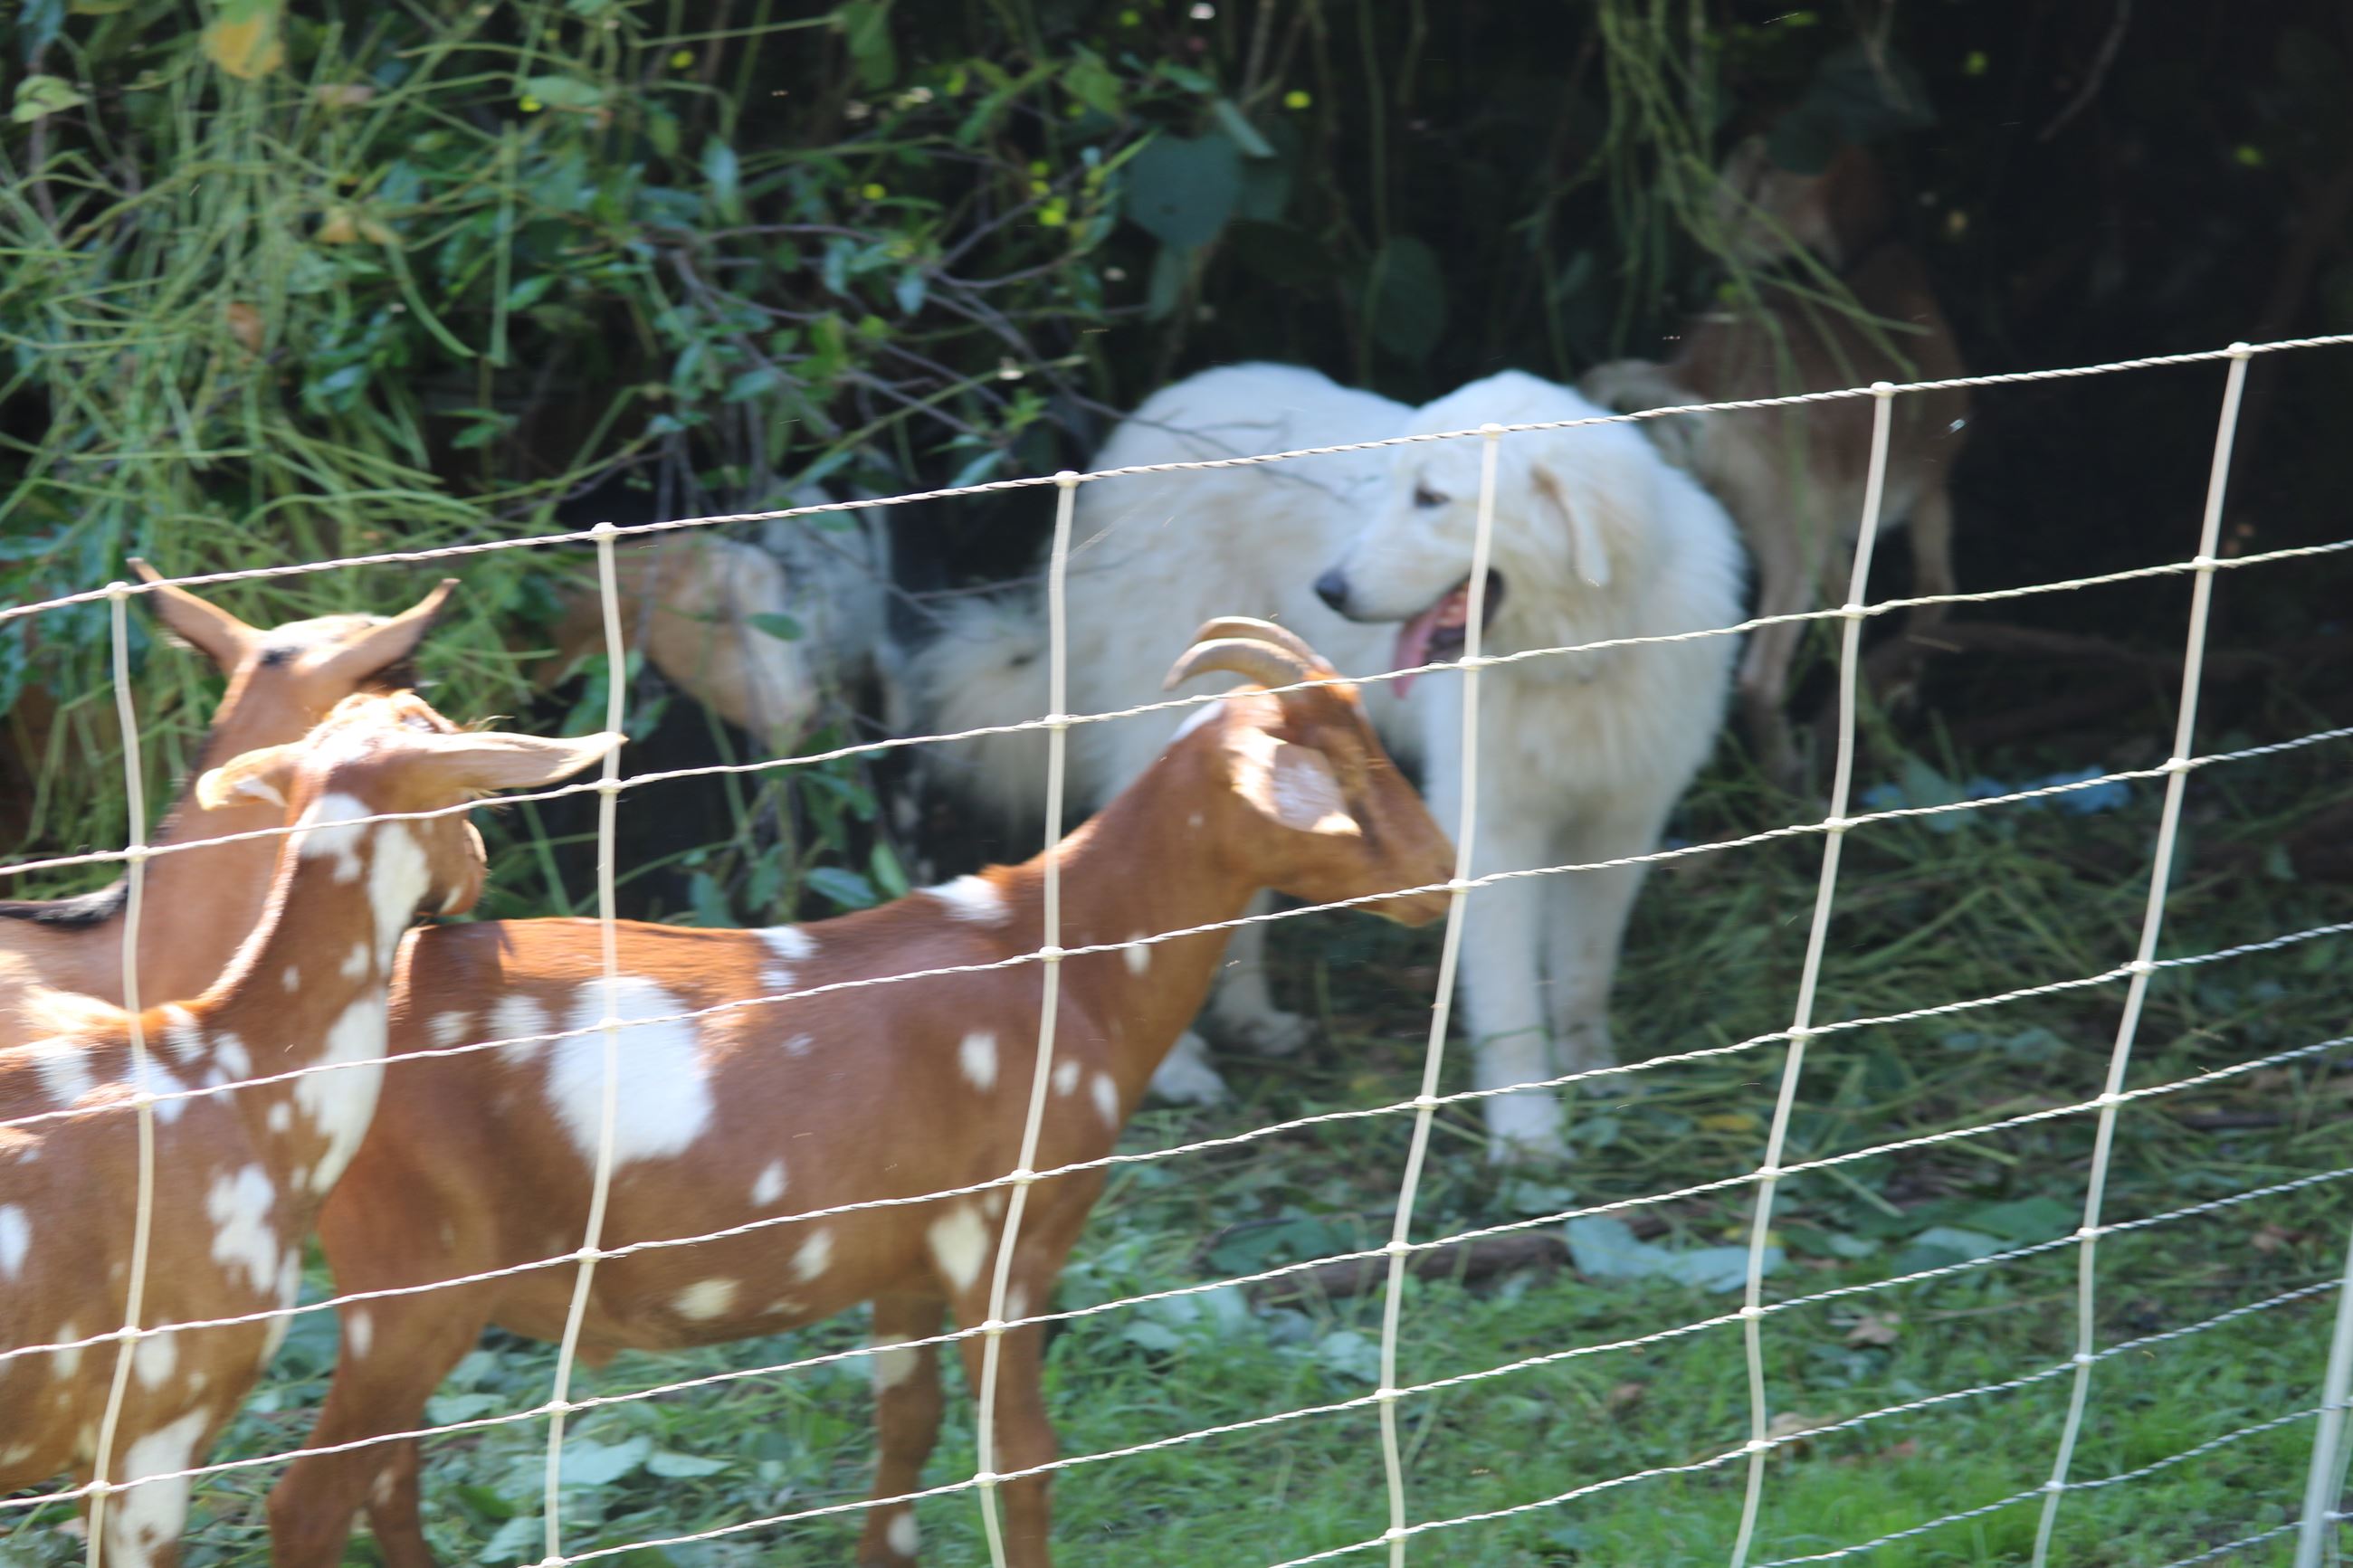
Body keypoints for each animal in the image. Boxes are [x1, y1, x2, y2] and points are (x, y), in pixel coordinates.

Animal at [267, 620, 1454, 1568]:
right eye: (1340, 772)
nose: (1442, 871)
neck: (1058, 960)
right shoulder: (1003, 1237)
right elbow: (1019, 1457)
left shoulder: (908, 1260)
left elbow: (909, 1429)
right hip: (410, 1279)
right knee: (311, 1497)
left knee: (389, 1478)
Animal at [1581, 136, 1971, 785]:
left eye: (1745, 189)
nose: (1710, 254)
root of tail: (1694, 378)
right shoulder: (1929, 490)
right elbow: (1933, 596)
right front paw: (1900, 702)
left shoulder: (1838, 534)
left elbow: (1850, 627)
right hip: (1790, 535)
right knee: (1757, 677)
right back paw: (1788, 775)